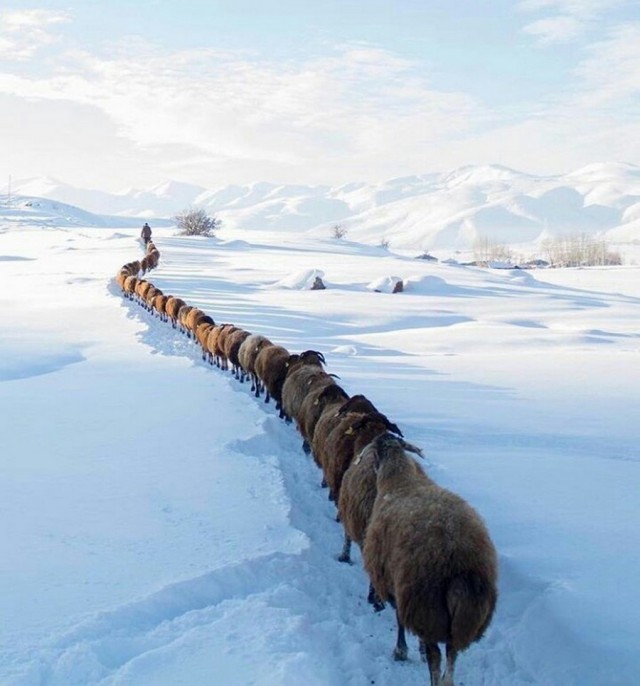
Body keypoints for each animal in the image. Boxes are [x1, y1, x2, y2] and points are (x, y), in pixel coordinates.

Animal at [362, 432, 498, 684]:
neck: (398, 480)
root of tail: (460, 563)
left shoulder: (396, 585)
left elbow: (399, 618)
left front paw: (401, 650)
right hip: (463, 619)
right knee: (452, 655)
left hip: (426, 606)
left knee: (436, 658)